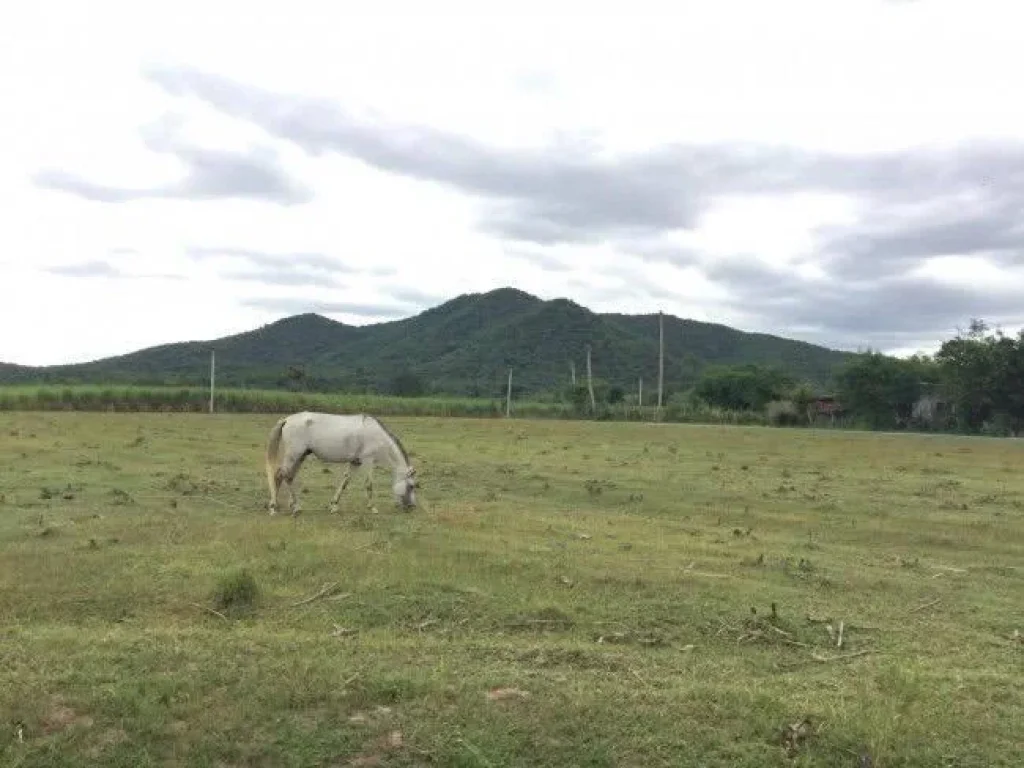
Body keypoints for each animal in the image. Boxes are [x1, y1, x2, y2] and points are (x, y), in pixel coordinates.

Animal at [268, 409, 419, 518]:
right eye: (411, 486)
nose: (412, 507)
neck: (377, 434)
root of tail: (287, 419)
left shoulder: (355, 462)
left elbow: (345, 482)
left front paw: (334, 506)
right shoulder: (368, 461)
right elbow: (369, 484)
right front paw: (372, 508)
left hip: (300, 456)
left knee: (288, 477)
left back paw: (291, 506)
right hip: (294, 455)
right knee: (281, 476)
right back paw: (277, 508)